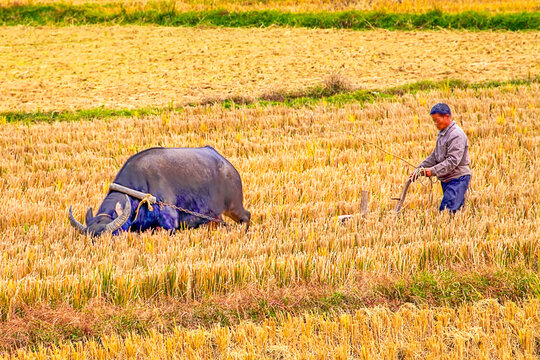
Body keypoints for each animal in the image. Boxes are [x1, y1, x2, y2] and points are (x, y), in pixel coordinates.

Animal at [68, 146, 251, 236]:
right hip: (215, 216)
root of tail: (228, 166)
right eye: (89, 239)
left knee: (246, 216)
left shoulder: (170, 225)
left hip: (234, 206)